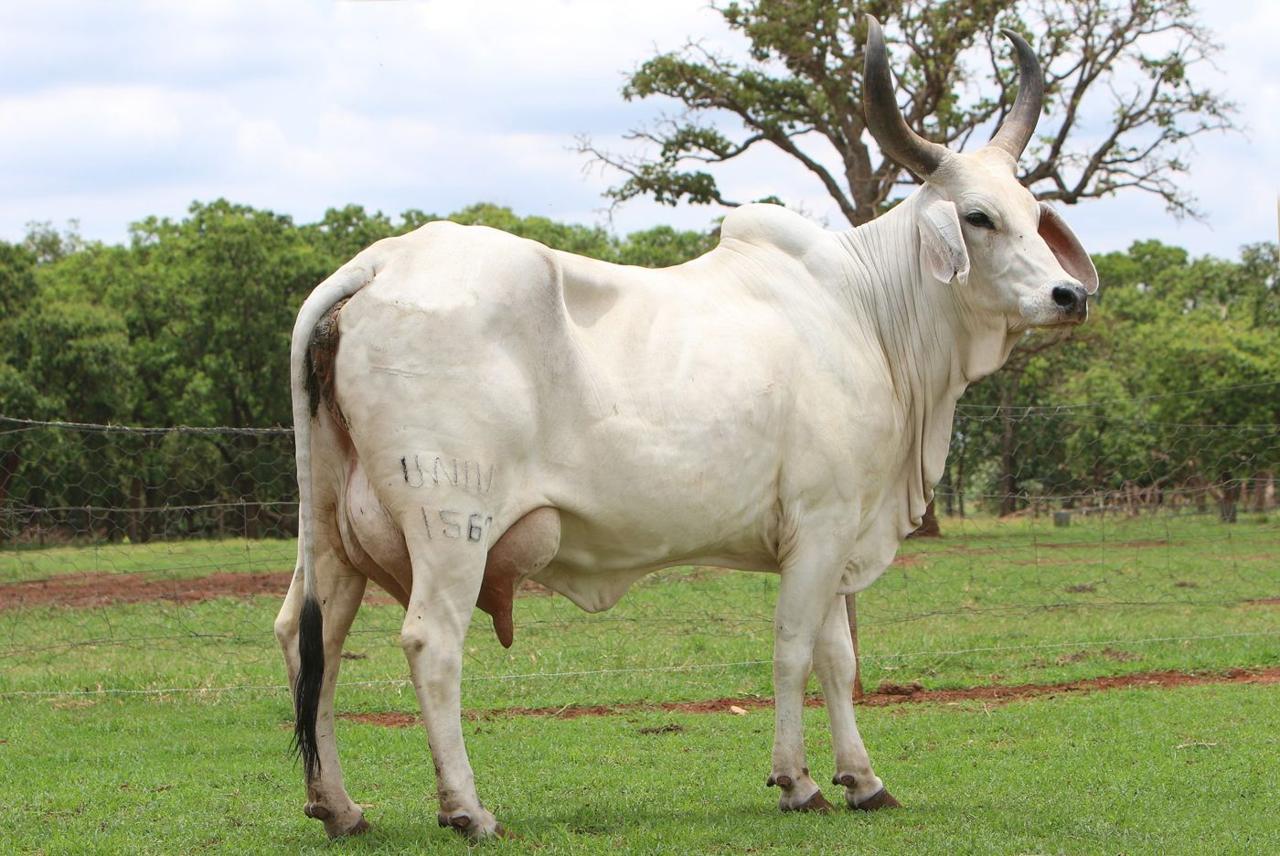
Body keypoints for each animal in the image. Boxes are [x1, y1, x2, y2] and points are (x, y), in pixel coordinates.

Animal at [275, 15, 1097, 841]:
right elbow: (794, 650)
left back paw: (338, 806)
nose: (1069, 295)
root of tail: (379, 266)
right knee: (431, 644)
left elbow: (838, 658)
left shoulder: (840, 534)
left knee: (312, 638)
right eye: (977, 217)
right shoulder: (822, 524)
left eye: (1034, 214)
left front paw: (863, 780)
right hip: (452, 527)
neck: (869, 309)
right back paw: (468, 809)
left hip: (329, 532)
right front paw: (797, 781)